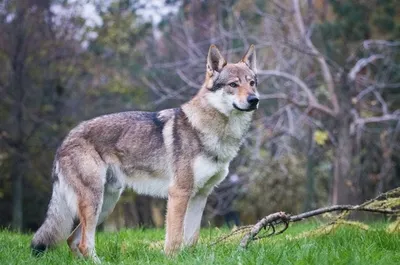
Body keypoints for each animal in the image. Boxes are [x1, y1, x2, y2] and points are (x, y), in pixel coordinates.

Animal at [32, 44, 260, 260]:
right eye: (233, 84)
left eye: (252, 83)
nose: (254, 100)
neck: (211, 130)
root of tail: (65, 140)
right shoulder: (179, 193)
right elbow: (174, 239)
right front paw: (171, 259)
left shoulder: (200, 195)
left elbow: (191, 239)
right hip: (95, 201)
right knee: (84, 243)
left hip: (106, 204)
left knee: (72, 239)